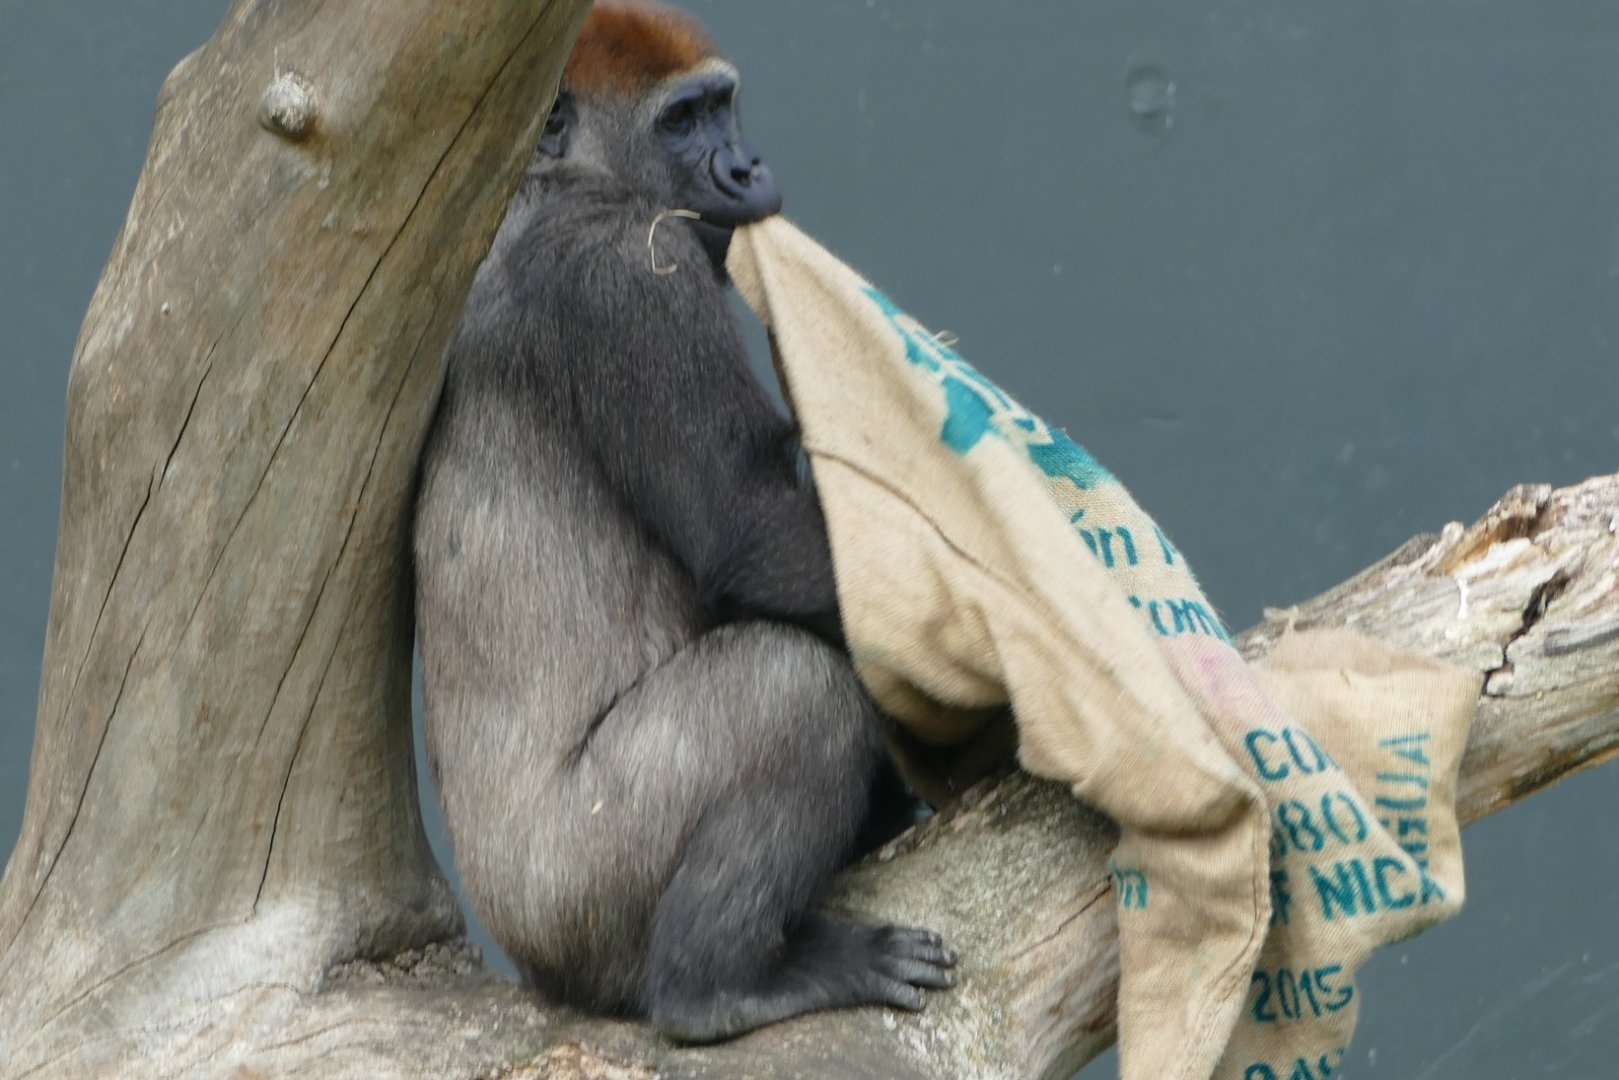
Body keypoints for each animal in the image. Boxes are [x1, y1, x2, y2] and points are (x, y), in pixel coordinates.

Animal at [412, 0, 953, 1043]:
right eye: (680, 122)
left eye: (722, 107)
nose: (745, 168)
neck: (553, 182)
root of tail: (528, 966)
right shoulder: (626, 265)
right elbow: (751, 531)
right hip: (577, 896)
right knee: (794, 691)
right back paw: (721, 983)